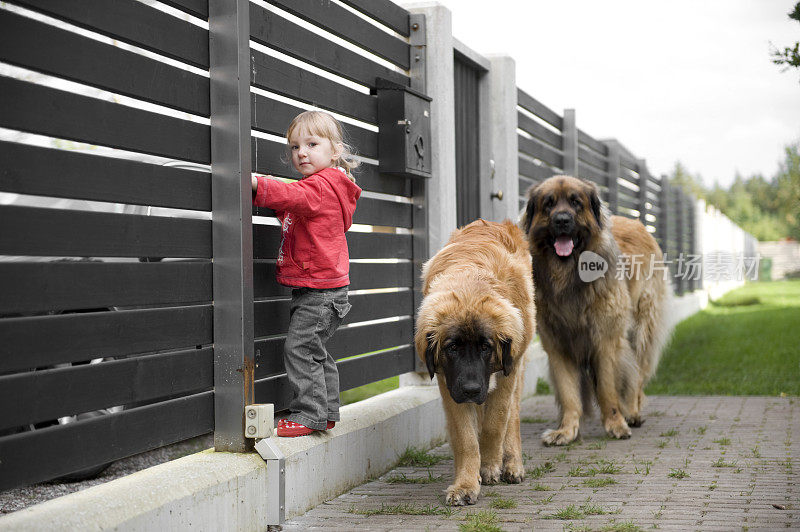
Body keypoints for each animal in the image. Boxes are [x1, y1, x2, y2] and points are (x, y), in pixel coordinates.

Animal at [416, 218, 536, 504]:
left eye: (485, 347)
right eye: (452, 347)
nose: (471, 390)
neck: (471, 282)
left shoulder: (506, 373)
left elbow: (496, 423)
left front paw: (491, 467)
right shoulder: (449, 384)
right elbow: (466, 438)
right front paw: (466, 484)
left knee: (512, 417)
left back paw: (512, 464)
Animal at [520, 177, 668, 446]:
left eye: (576, 202)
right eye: (549, 204)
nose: (562, 220)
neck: (567, 274)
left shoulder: (606, 342)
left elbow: (608, 389)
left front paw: (616, 425)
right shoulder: (558, 346)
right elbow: (569, 394)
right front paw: (566, 431)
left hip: (642, 329)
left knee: (637, 373)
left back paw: (632, 413)